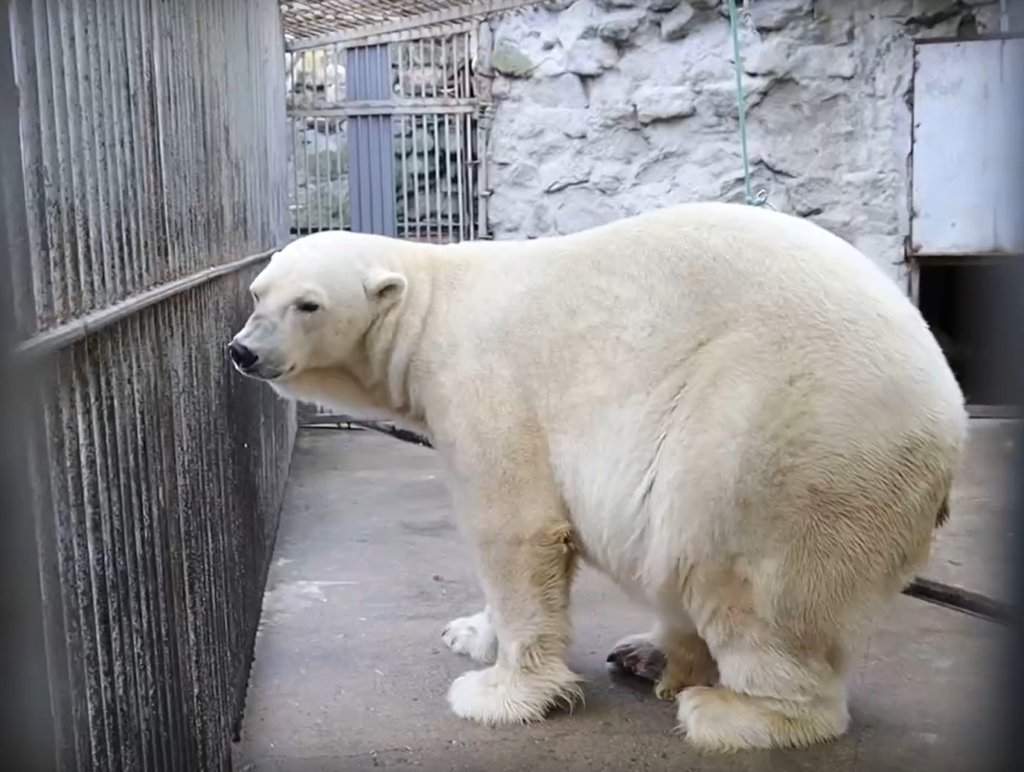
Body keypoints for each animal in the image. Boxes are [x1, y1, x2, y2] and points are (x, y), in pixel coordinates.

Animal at [228, 202, 967, 752]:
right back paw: (651, 656)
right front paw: (469, 633)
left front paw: (498, 693)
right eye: (257, 293)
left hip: (780, 439)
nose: (243, 351)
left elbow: (515, 528)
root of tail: (948, 413)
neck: (430, 302)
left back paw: (731, 711)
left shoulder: (482, 380)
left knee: (738, 573)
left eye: (309, 305)